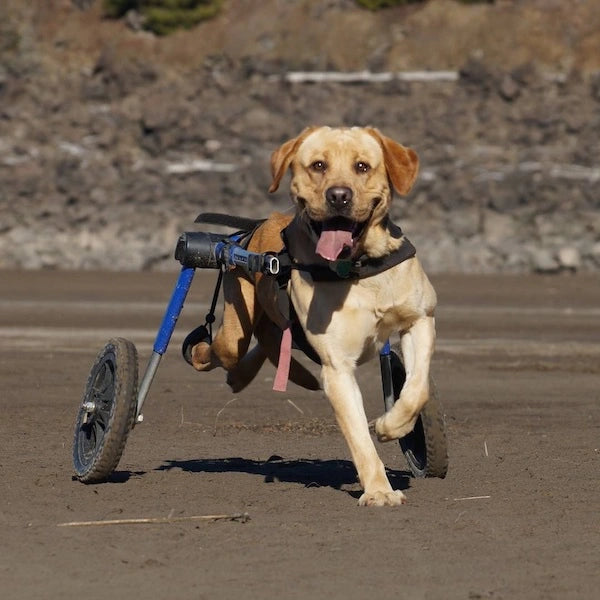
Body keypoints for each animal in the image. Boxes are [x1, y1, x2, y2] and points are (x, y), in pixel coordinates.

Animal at [190, 126, 438, 506]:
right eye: (318, 165)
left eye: (362, 166)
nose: (339, 196)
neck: (359, 268)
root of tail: (257, 225)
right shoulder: (337, 368)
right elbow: (360, 438)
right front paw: (379, 490)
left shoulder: (420, 319)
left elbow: (416, 389)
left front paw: (392, 425)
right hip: (235, 321)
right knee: (229, 346)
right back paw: (203, 352)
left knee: (271, 338)